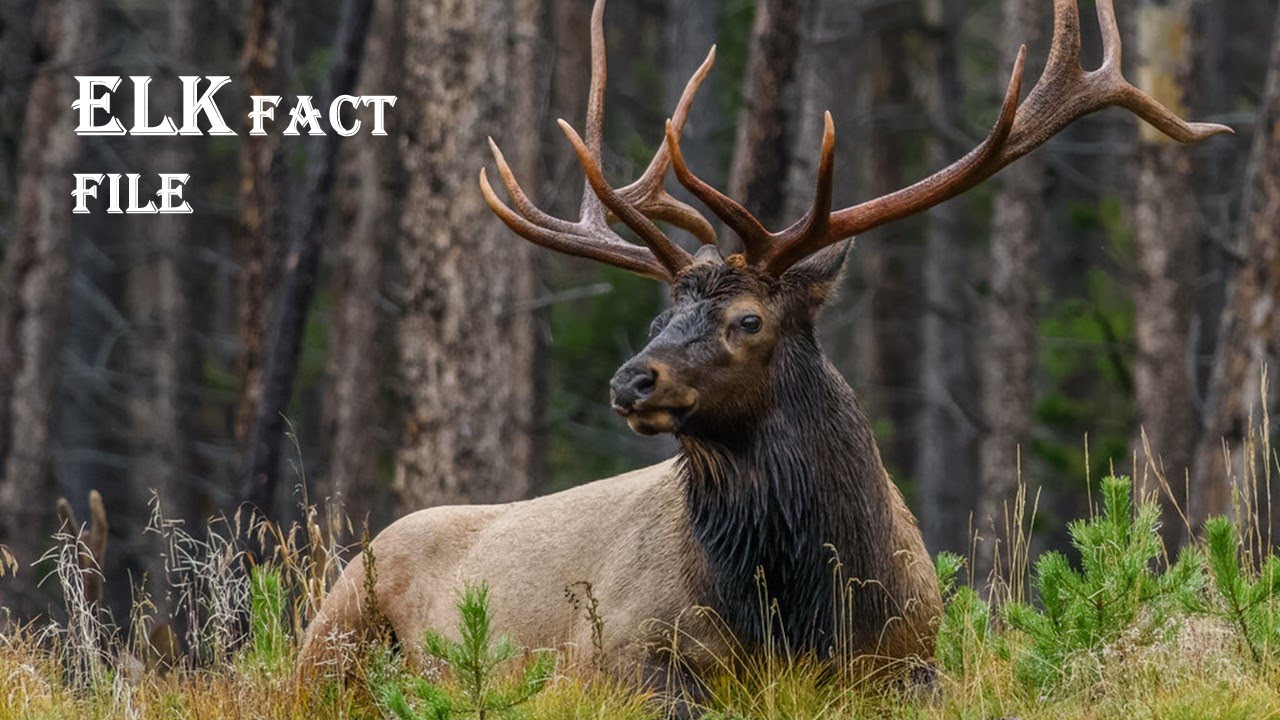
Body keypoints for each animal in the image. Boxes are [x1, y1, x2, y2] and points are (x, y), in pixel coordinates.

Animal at [299, 0, 1229, 694]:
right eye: (657, 320)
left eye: (748, 320)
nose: (632, 381)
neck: (804, 613)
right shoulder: (620, 655)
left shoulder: (917, 658)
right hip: (331, 631)